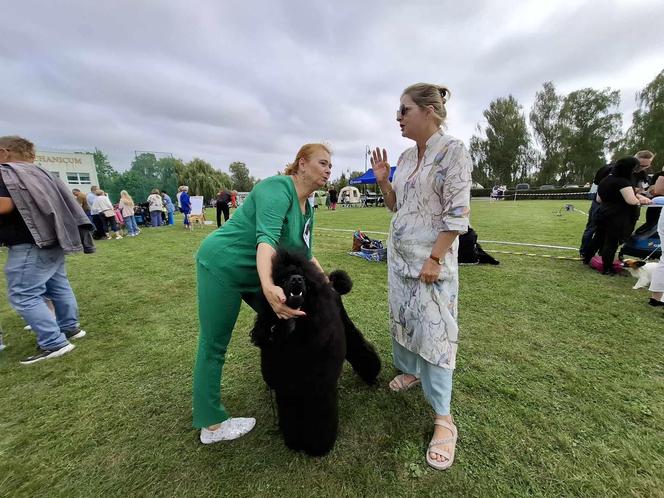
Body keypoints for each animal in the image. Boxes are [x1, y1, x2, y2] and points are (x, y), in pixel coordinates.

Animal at [252, 251, 382, 458]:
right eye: (283, 279)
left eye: (303, 278)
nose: (296, 280)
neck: (292, 330)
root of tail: (332, 285)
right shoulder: (286, 388)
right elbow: (290, 414)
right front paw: (294, 442)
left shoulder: (319, 387)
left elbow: (319, 418)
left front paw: (318, 447)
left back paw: (371, 375)